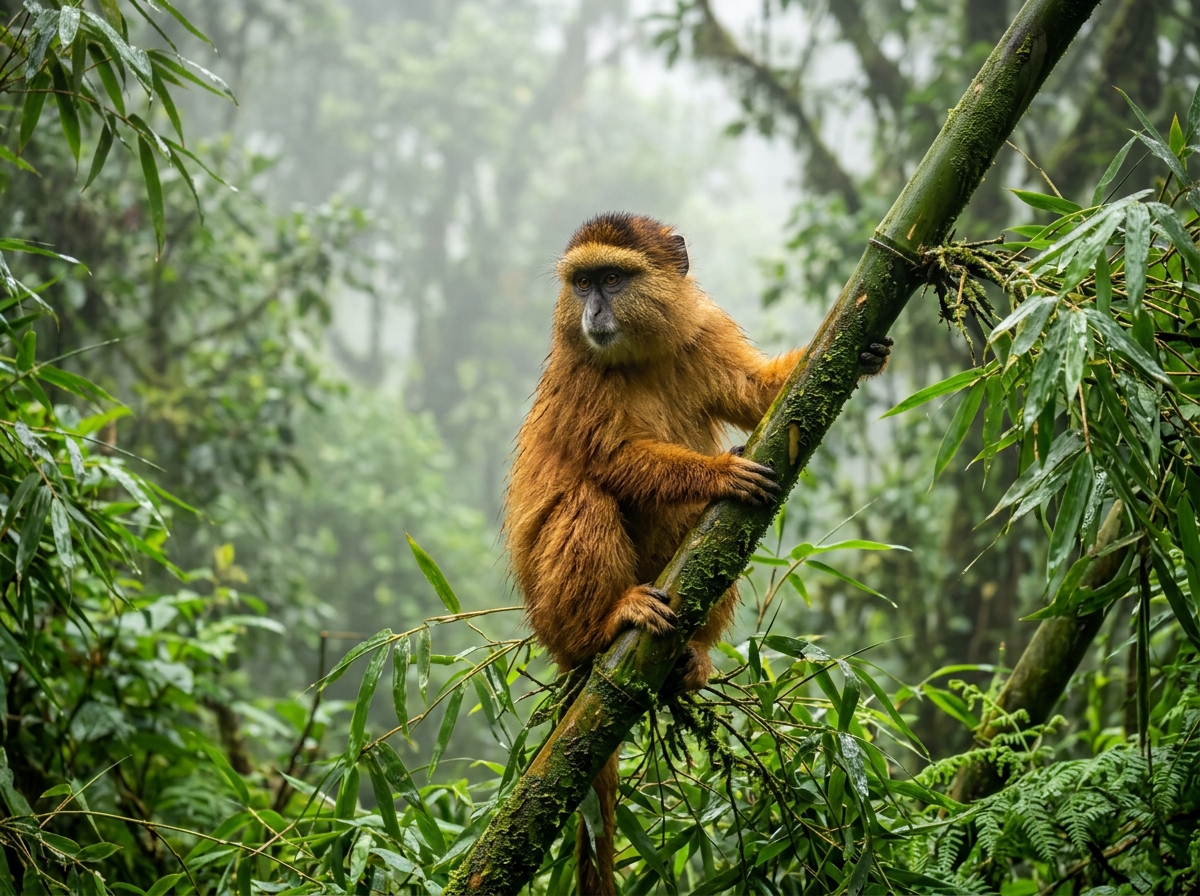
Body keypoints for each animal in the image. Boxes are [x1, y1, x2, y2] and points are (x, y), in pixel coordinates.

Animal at [504, 212, 891, 895]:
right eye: (582, 283)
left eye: (612, 279)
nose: (592, 311)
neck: (639, 352)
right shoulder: (580, 371)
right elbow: (612, 461)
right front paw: (716, 474)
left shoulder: (703, 331)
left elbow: (761, 395)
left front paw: (864, 353)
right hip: (552, 615)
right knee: (587, 498)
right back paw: (607, 624)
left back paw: (691, 657)